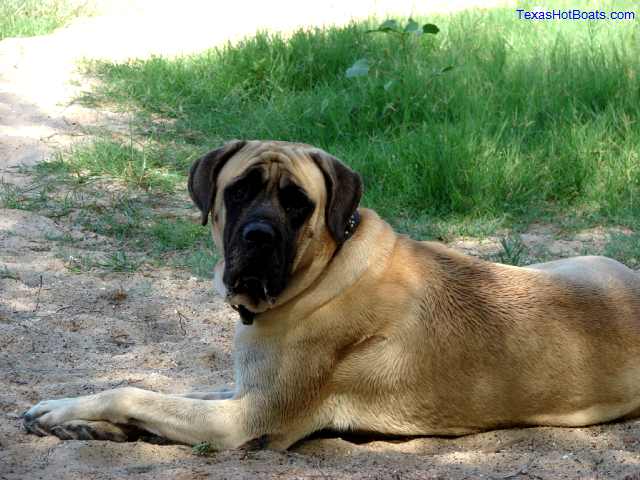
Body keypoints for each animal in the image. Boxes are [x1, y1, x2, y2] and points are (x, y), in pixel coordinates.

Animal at [22, 139, 640, 450]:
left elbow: (135, 392)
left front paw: (76, 414)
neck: (319, 276)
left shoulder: (245, 419)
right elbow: (166, 391)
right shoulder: (244, 386)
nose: (259, 236)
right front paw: (78, 419)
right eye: (239, 190)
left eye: (297, 202)